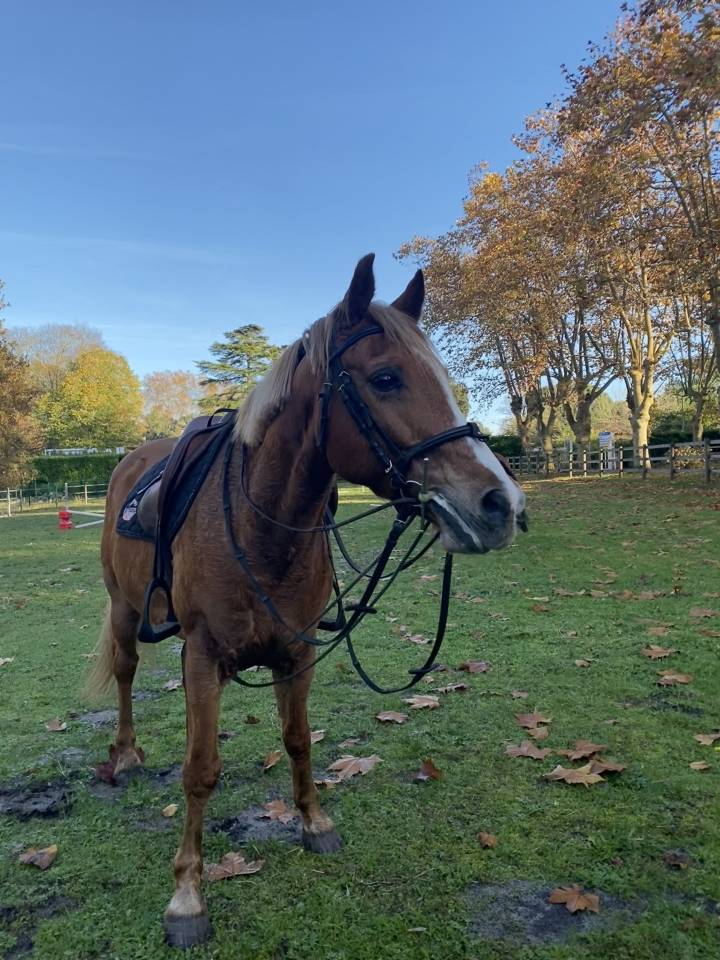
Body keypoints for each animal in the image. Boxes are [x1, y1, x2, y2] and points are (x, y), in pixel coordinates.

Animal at [89, 254, 526, 948]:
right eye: (386, 378)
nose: (500, 504)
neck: (262, 526)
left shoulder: (297, 653)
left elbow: (298, 741)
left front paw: (314, 823)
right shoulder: (201, 658)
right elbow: (200, 768)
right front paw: (187, 894)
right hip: (123, 609)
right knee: (128, 673)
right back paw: (126, 754)